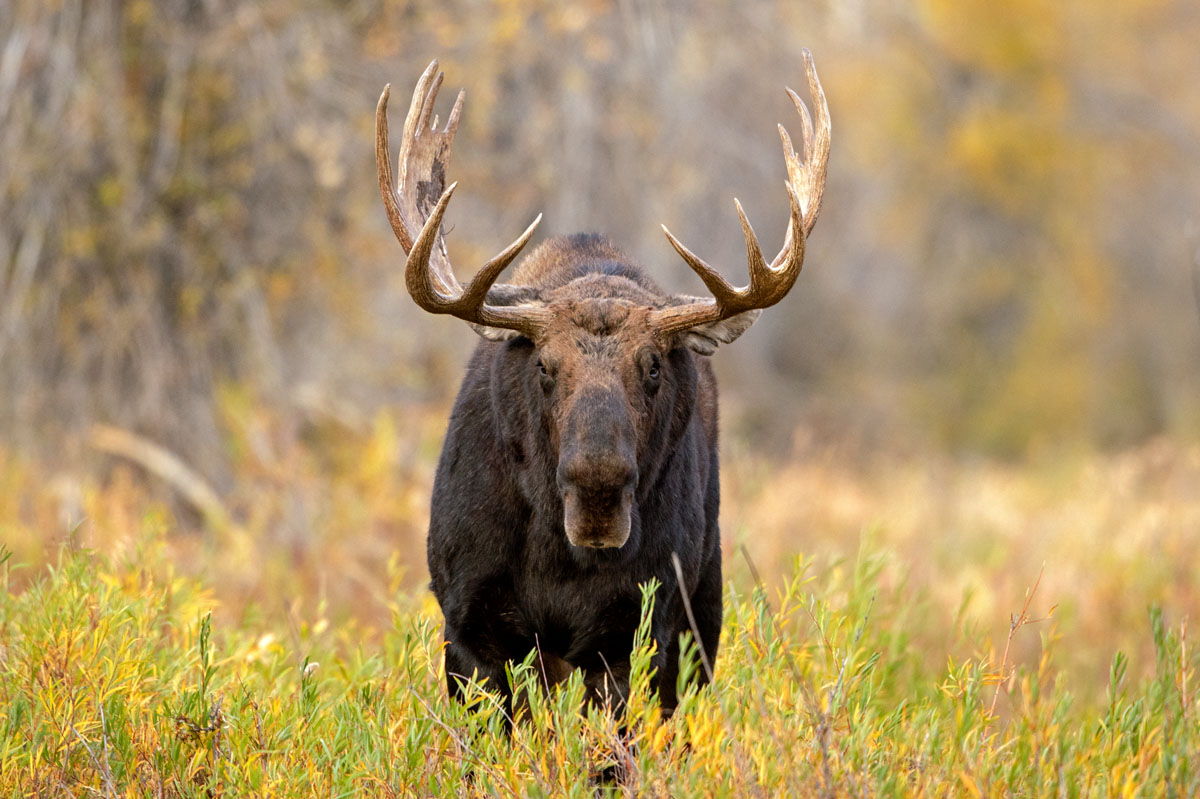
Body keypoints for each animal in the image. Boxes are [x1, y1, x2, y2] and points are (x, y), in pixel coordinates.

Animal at [379, 51, 830, 710]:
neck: (560, 563)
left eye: (652, 366)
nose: (597, 489)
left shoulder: (636, 634)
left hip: (703, 612)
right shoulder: (470, 626)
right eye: (544, 366)